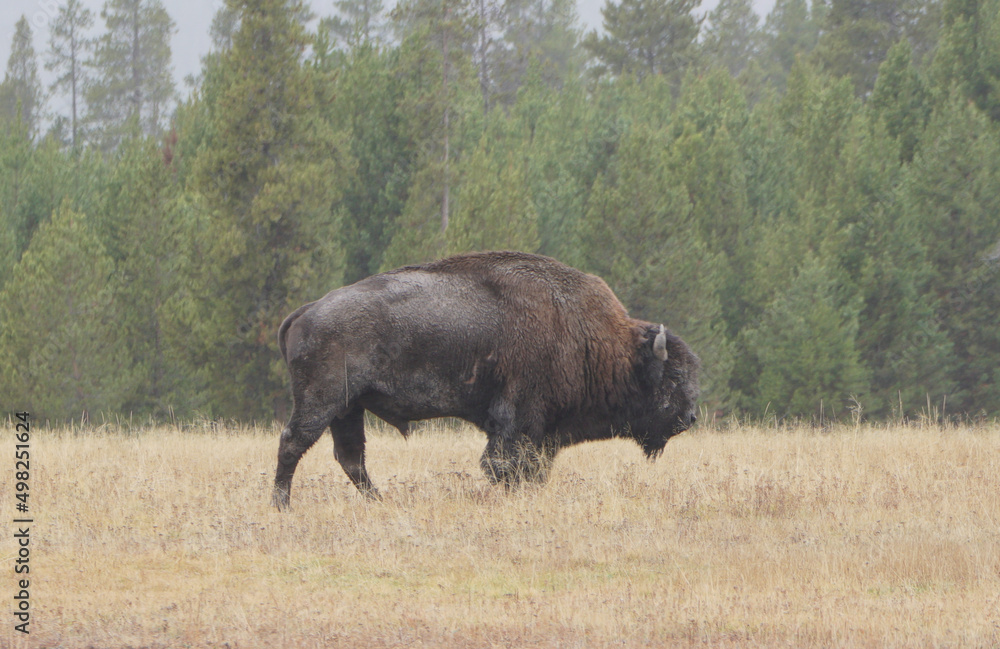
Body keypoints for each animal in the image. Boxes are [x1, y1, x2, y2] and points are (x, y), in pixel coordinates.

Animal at [270, 248, 700, 506]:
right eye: (672, 377)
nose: (691, 416)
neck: (596, 339)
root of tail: (307, 310)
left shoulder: (541, 430)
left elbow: (533, 467)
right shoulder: (518, 418)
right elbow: (504, 464)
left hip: (348, 407)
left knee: (351, 457)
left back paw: (379, 501)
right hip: (322, 400)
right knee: (294, 442)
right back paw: (281, 505)